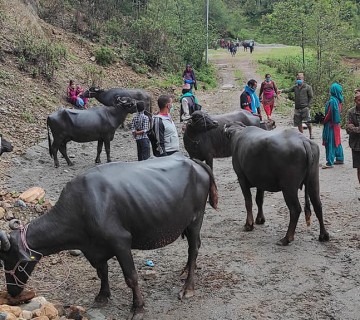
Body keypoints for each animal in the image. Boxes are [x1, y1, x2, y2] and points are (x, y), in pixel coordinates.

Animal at [0, 154, 217, 318]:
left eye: (14, 261)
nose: (12, 291)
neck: (81, 208)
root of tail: (192, 161)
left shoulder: (121, 242)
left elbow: (131, 277)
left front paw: (138, 307)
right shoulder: (93, 249)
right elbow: (102, 272)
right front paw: (103, 295)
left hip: (196, 219)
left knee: (193, 248)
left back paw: (188, 288)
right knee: (193, 248)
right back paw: (186, 270)